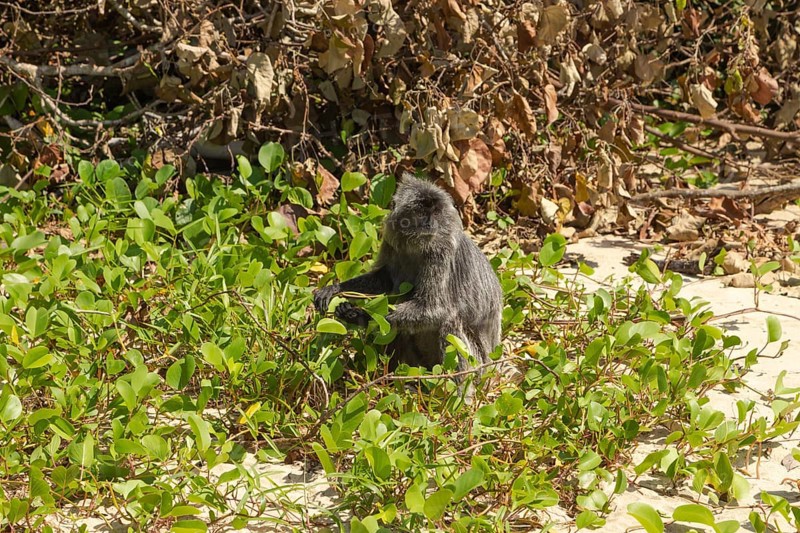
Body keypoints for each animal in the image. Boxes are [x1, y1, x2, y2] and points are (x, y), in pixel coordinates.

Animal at [313, 173, 503, 376]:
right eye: (421, 213)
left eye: (435, 213)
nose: (430, 224)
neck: (416, 246)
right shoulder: (391, 242)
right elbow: (384, 280)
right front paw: (335, 289)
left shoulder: (441, 253)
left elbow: (435, 309)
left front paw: (362, 315)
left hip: (477, 363)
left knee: (449, 321)